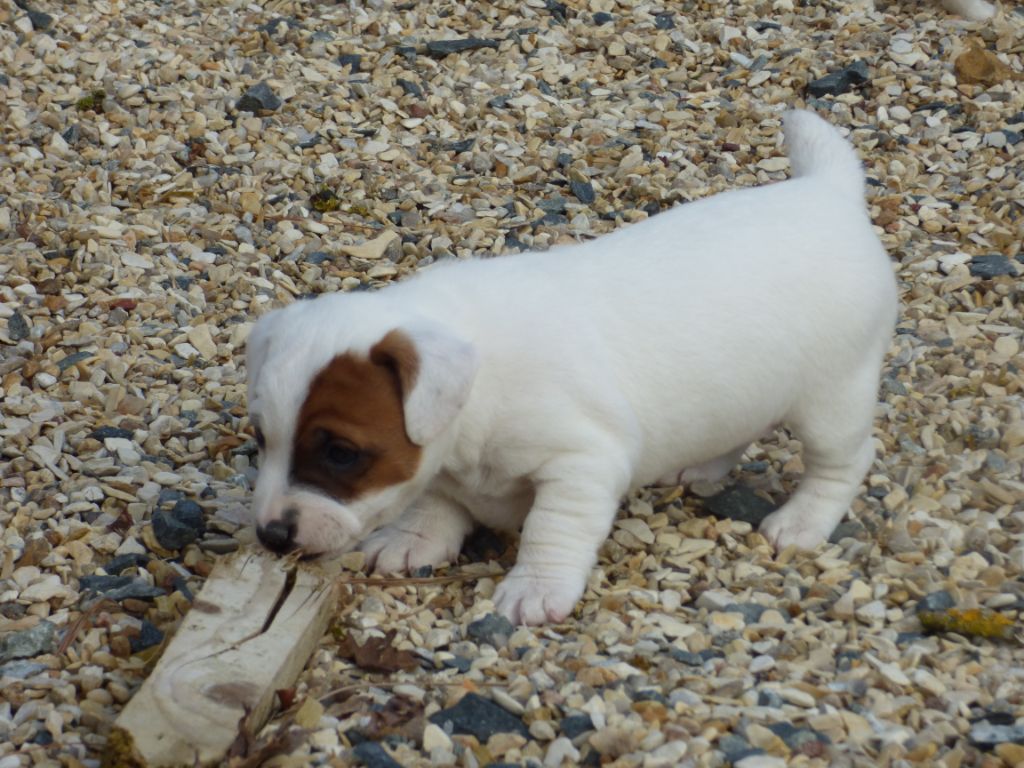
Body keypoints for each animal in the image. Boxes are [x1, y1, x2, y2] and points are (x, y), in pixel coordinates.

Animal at [246, 110, 899, 625]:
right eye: (261, 439)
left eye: (340, 454)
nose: (271, 536)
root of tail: (828, 193)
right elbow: (438, 500)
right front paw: (414, 536)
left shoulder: (580, 464)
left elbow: (551, 528)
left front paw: (535, 588)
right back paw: (702, 468)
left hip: (833, 396)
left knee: (845, 460)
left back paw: (803, 521)